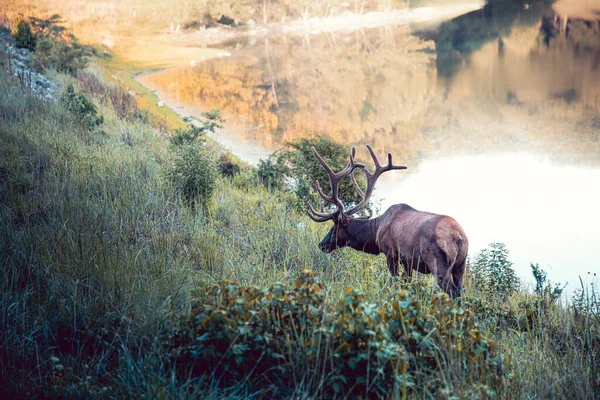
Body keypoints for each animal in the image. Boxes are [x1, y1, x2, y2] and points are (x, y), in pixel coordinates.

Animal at [310, 145, 468, 298]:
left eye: (334, 228)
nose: (321, 244)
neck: (375, 232)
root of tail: (459, 237)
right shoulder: (407, 260)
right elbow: (407, 283)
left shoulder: (391, 252)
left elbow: (395, 281)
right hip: (460, 266)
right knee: (460, 292)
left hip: (438, 264)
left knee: (453, 293)